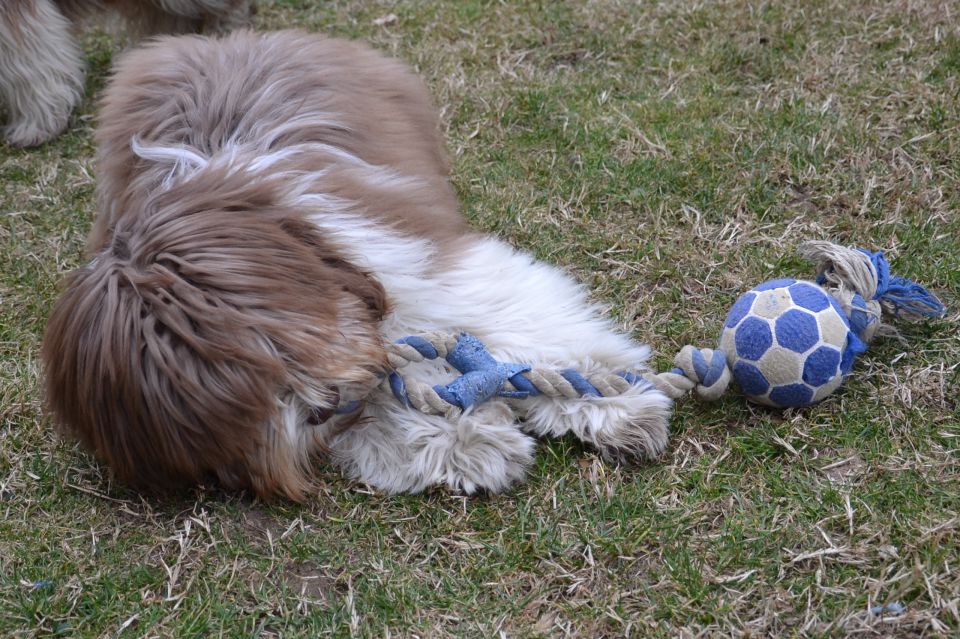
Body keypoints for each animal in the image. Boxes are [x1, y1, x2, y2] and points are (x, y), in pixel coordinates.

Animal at [43, 31, 676, 500]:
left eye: (277, 342)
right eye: (242, 415)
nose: (321, 408)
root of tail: (224, 39)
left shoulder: (424, 260)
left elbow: (525, 325)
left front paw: (613, 403)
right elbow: (379, 411)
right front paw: (469, 442)